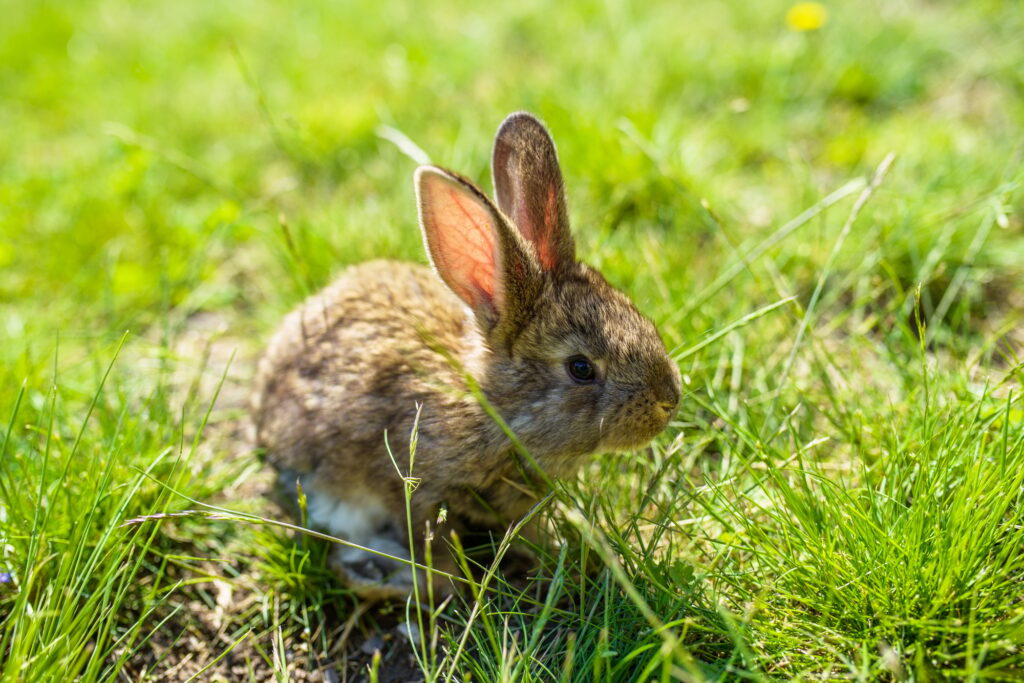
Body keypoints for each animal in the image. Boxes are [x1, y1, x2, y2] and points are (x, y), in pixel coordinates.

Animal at [249, 112, 679, 598]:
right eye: (581, 368)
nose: (669, 400)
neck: (491, 409)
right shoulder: (416, 489)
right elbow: (430, 544)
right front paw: (450, 587)